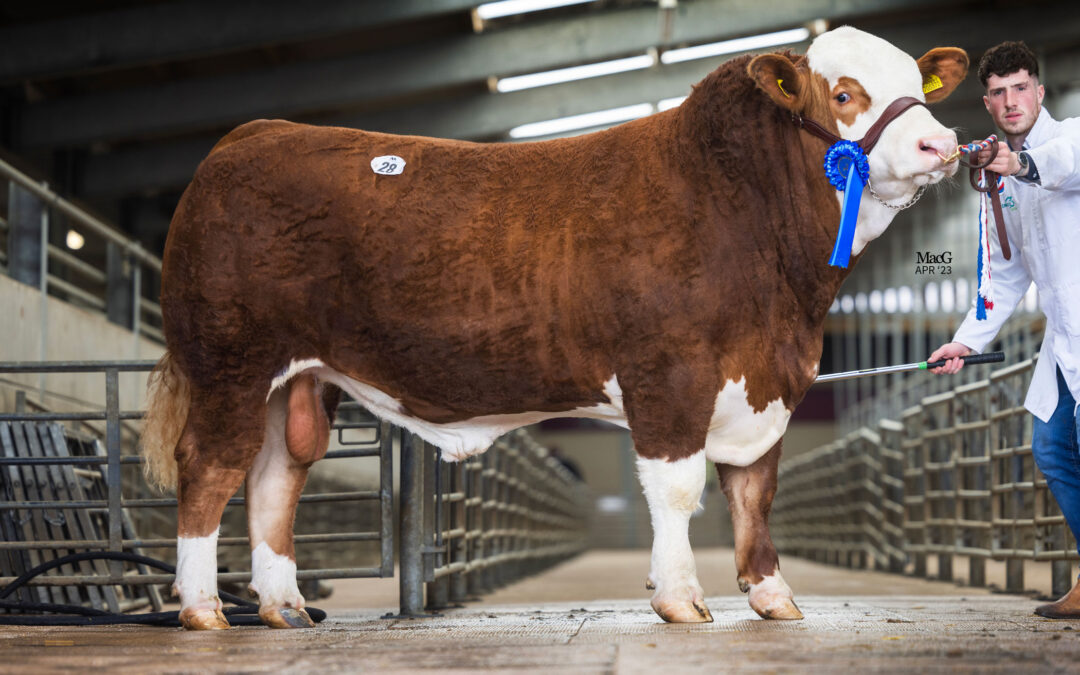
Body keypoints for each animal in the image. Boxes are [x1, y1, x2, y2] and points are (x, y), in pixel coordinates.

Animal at [139, 26, 967, 626]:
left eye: (912, 83)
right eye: (846, 91)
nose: (943, 143)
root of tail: (248, 136)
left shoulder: (766, 384)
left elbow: (753, 491)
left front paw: (772, 595)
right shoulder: (668, 375)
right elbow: (679, 491)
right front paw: (680, 598)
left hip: (300, 380)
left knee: (276, 478)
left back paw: (283, 607)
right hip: (229, 362)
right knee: (209, 468)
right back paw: (204, 609)